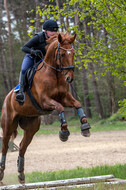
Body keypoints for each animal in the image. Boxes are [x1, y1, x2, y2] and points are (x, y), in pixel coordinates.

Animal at [0, 31, 90, 183]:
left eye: (73, 53)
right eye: (62, 54)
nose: (70, 78)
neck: (55, 73)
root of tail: (7, 97)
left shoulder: (65, 98)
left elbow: (77, 104)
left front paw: (85, 127)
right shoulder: (45, 101)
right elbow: (59, 108)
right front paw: (64, 132)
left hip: (31, 127)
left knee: (22, 147)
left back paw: (21, 175)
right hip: (8, 126)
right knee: (5, 146)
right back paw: (1, 173)